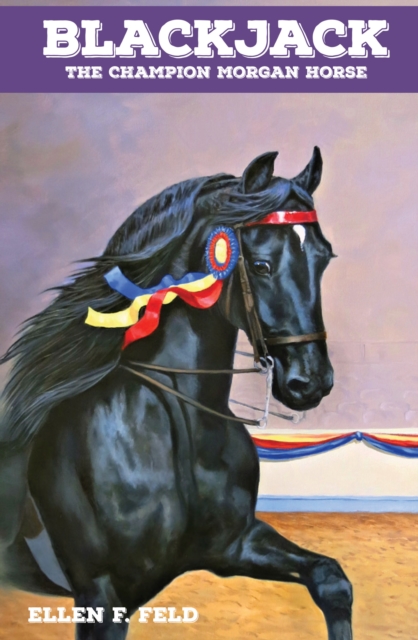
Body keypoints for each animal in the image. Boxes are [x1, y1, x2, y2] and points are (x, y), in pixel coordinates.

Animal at [0, 147, 352, 640]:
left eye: (323, 259)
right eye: (261, 264)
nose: (311, 380)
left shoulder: (236, 544)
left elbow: (332, 580)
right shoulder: (102, 597)